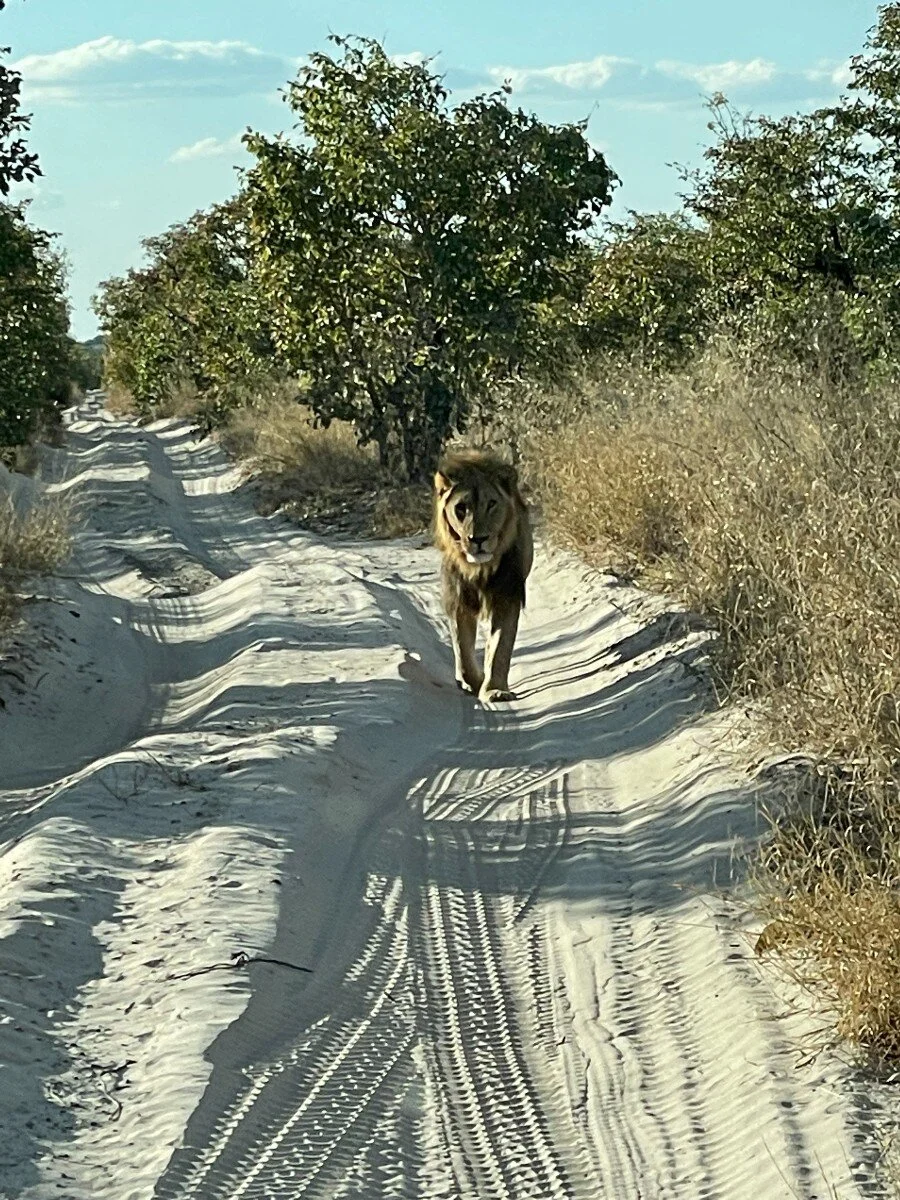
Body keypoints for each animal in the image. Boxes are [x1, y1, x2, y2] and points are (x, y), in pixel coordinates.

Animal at [433, 449, 533, 703]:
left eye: (492, 504)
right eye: (461, 508)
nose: (478, 539)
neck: (479, 568)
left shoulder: (507, 596)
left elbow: (499, 647)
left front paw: (495, 690)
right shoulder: (459, 599)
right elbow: (462, 649)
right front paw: (472, 682)